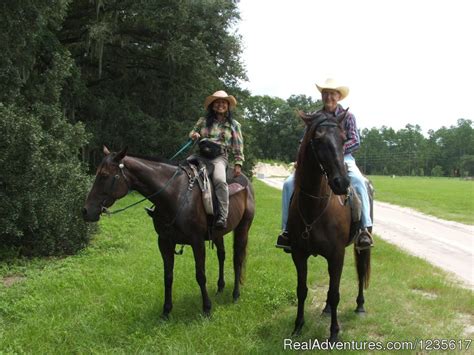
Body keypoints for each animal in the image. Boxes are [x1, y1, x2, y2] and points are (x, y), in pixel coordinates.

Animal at [83, 146, 254, 318]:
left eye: (104, 175)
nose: (86, 211)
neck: (175, 195)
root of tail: (246, 182)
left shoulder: (197, 242)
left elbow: (200, 275)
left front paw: (206, 308)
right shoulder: (164, 242)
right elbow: (168, 276)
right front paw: (166, 311)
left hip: (243, 228)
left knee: (237, 259)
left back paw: (235, 294)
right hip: (218, 234)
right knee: (221, 255)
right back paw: (220, 288)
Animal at [286, 110, 372, 342]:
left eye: (343, 139)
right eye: (317, 140)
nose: (341, 183)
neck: (314, 206)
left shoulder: (336, 255)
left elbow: (335, 293)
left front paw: (334, 333)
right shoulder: (298, 254)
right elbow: (301, 290)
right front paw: (298, 326)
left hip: (361, 244)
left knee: (361, 270)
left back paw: (360, 306)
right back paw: (325, 310)